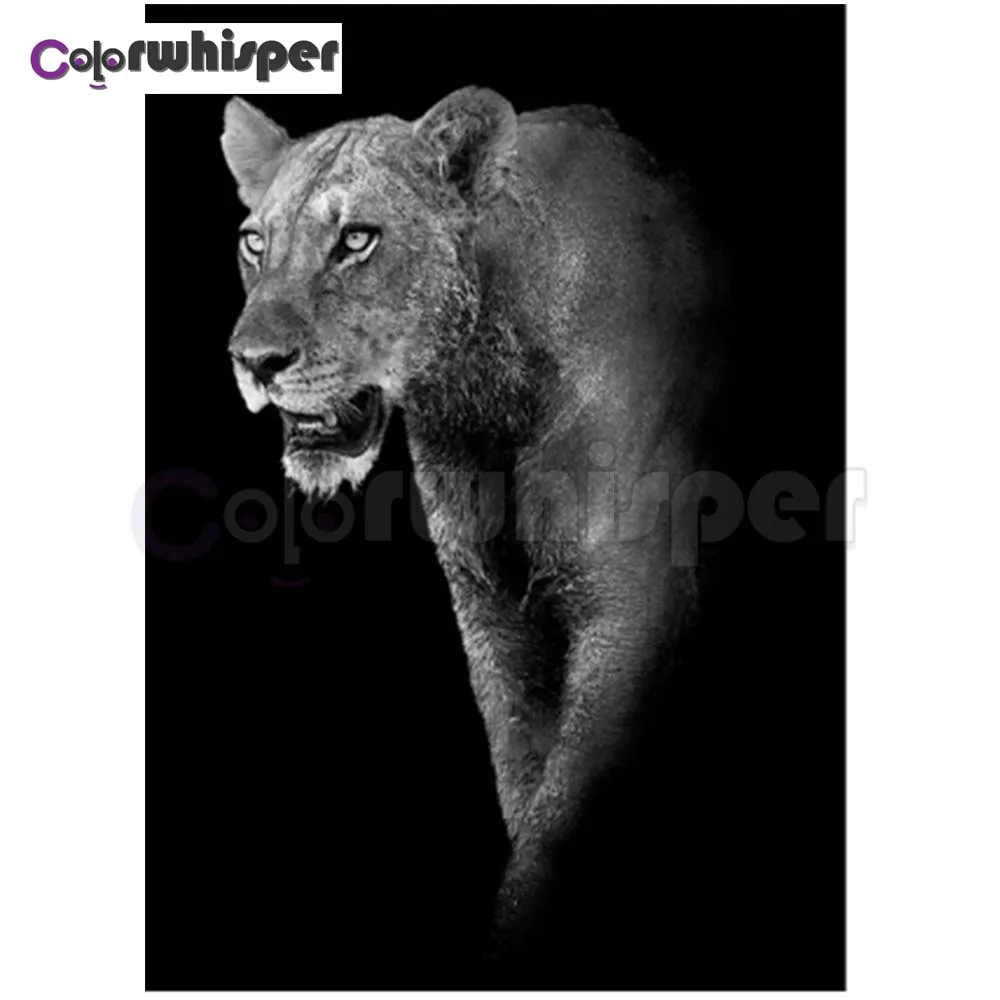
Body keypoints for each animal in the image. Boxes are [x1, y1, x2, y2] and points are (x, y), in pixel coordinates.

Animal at [222, 87, 720, 981]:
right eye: (254, 242)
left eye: (356, 239)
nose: (254, 359)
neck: (484, 393)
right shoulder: (491, 605)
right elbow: (523, 773)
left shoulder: (634, 604)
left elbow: (559, 816)